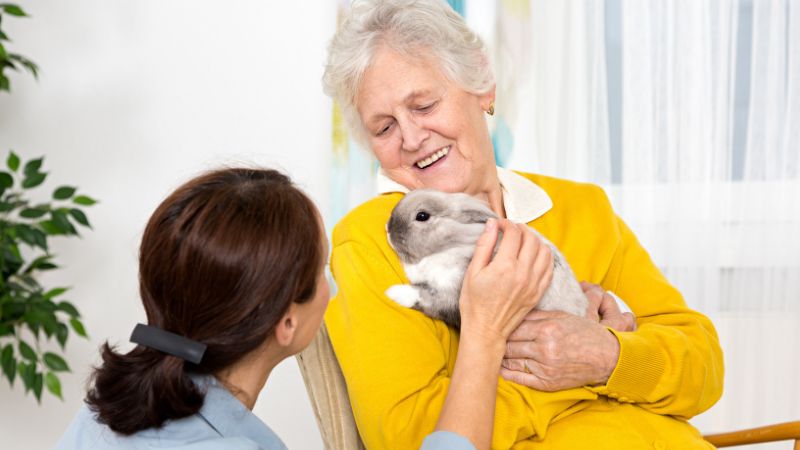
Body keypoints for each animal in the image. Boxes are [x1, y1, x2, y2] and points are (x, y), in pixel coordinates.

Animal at [385, 189, 588, 329]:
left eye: (422, 216)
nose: (387, 228)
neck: (453, 245)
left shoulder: (452, 296)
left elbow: (425, 297)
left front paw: (394, 293)